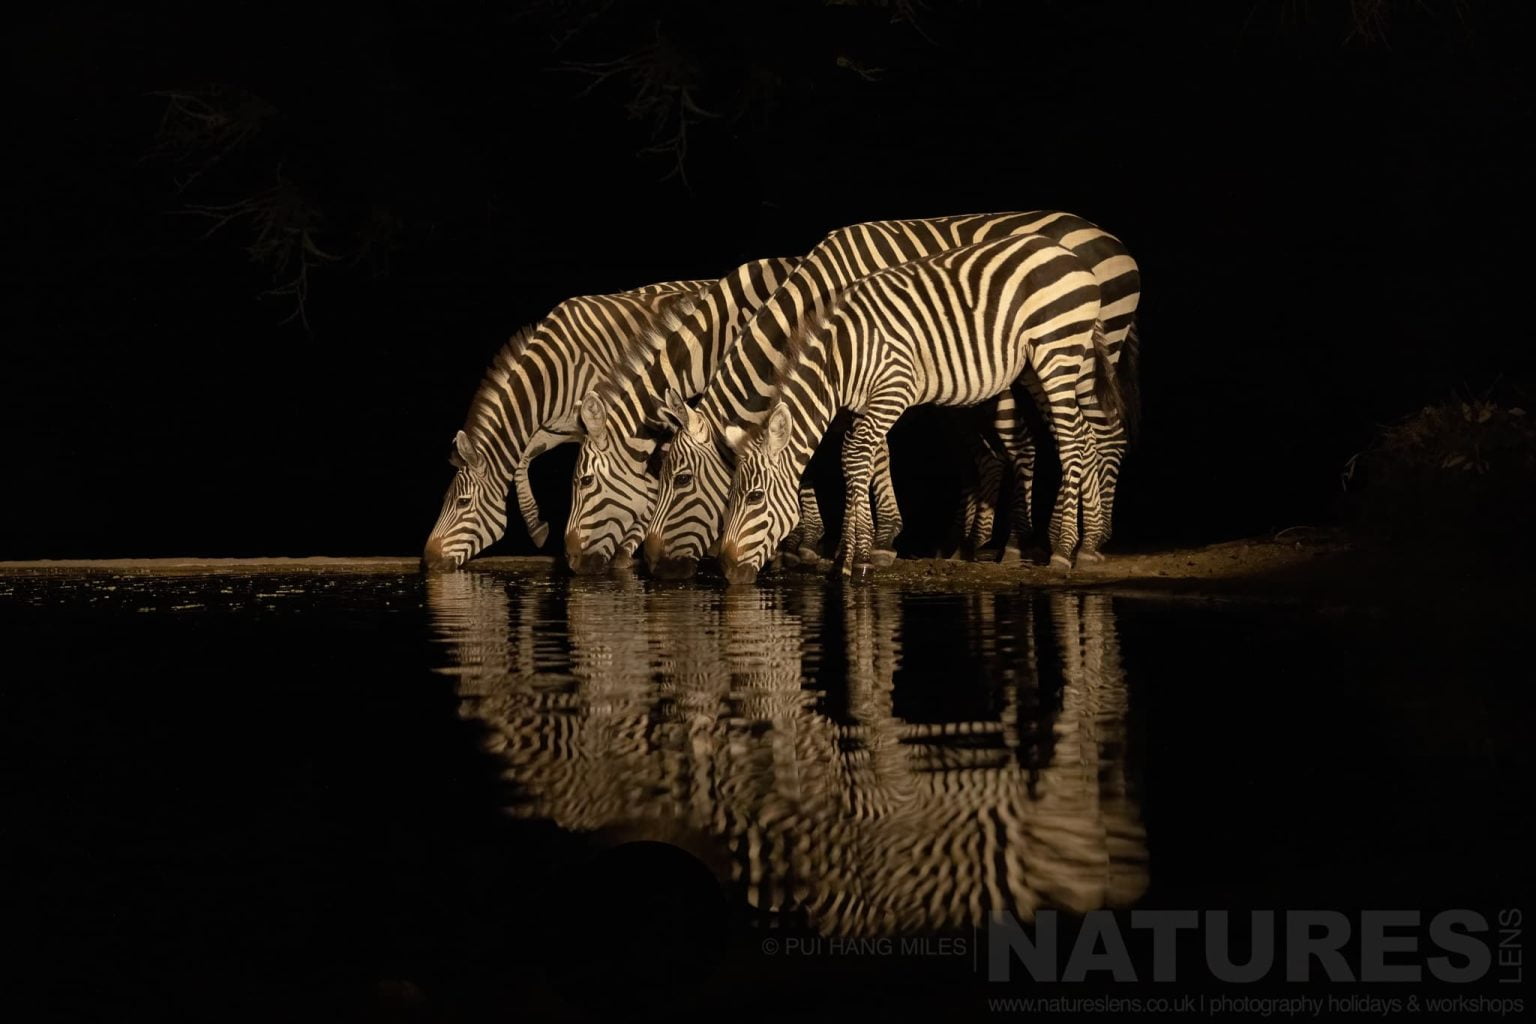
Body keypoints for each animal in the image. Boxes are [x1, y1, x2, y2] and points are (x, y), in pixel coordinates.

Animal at [422, 279, 713, 572]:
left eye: (463, 502)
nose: (428, 561)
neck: (554, 373)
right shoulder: (556, 428)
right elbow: (522, 461)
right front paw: (537, 528)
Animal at [641, 211, 1141, 577]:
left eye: (680, 480)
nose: (650, 562)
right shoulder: (857, 400)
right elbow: (856, 457)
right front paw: (856, 545)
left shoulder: (883, 387)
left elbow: (863, 456)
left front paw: (859, 548)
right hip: (1046, 365)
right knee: (1073, 439)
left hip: (1068, 352)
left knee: (1087, 438)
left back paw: (1069, 547)